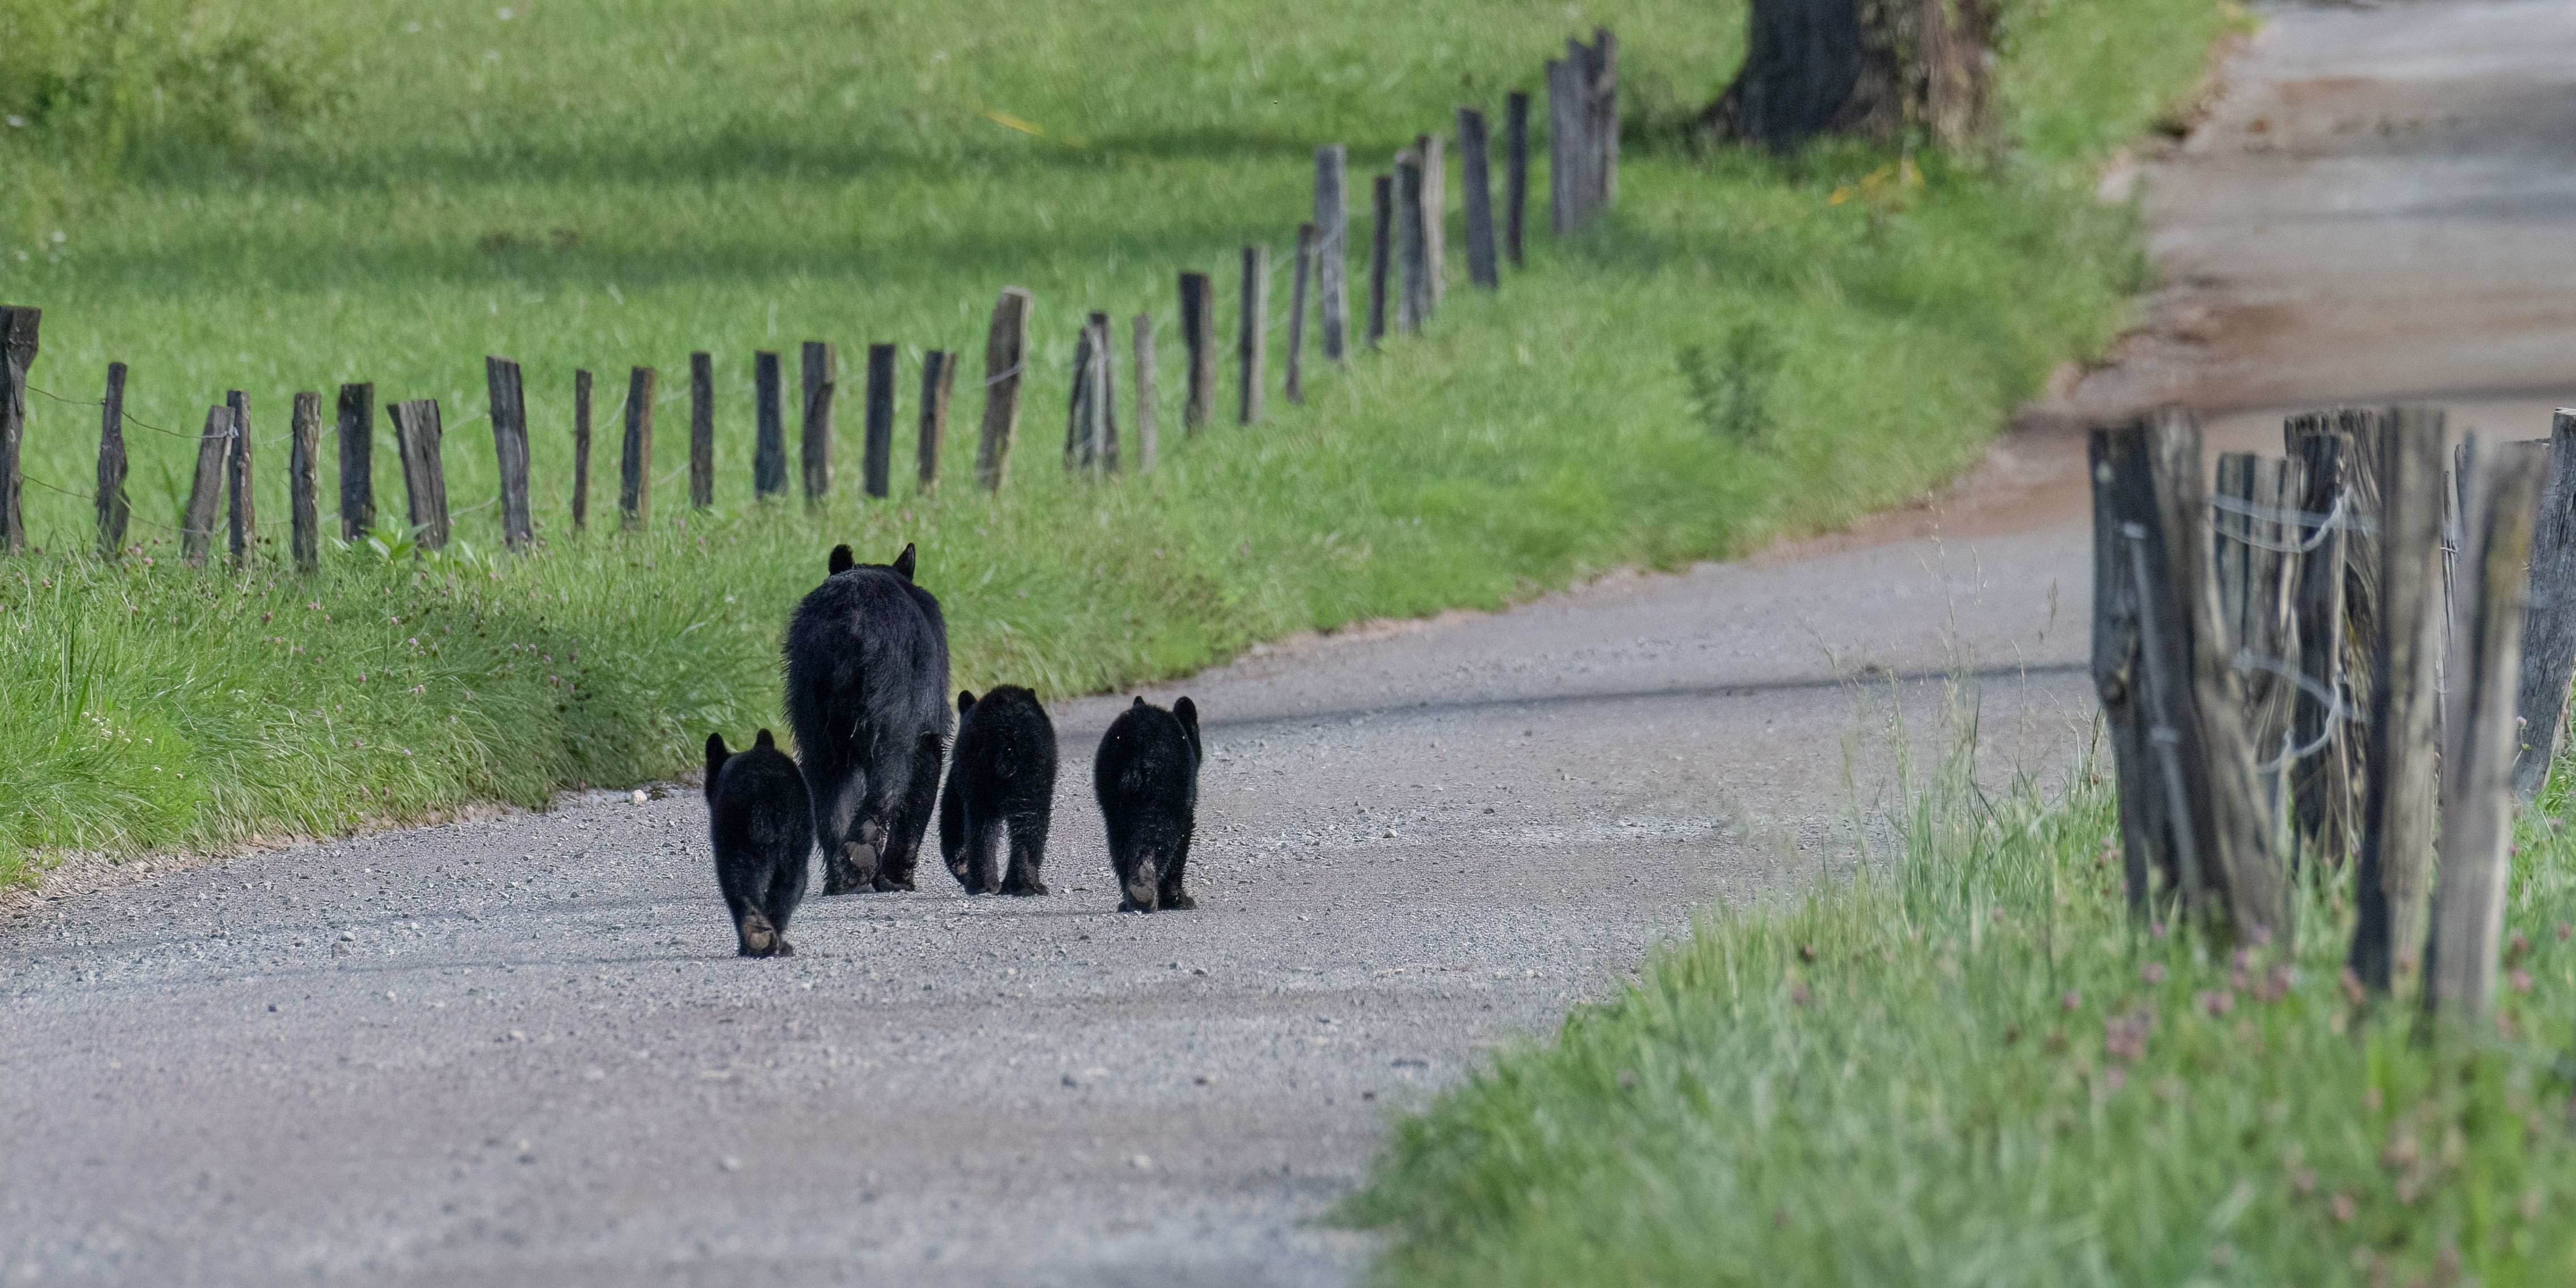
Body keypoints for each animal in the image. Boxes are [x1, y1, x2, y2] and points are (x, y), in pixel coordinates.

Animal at [704, 729, 813, 957]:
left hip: (737, 833)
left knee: (738, 881)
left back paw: (753, 940)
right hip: (795, 838)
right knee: (790, 883)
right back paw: (773, 939)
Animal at [783, 541, 952, 894]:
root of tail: (851, 619)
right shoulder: (926, 713)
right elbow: (924, 772)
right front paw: (898, 876)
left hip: (811, 696)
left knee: (826, 777)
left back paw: (842, 876)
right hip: (893, 698)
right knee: (891, 773)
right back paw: (859, 856)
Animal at [938, 686, 1060, 896]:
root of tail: (1009, 738)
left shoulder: (959, 769)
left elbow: (952, 812)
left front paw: (961, 870)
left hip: (979, 768)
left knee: (980, 824)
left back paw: (982, 884)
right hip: (1034, 772)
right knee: (1031, 820)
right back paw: (1025, 884)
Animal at [1092, 696, 1203, 912]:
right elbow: (1183, 839)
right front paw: (1178, 898)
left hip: (1111, 789)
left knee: (1119, 839)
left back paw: (1130, 897)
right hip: (1166, 788)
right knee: (1160, 834)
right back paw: (1145, 891)